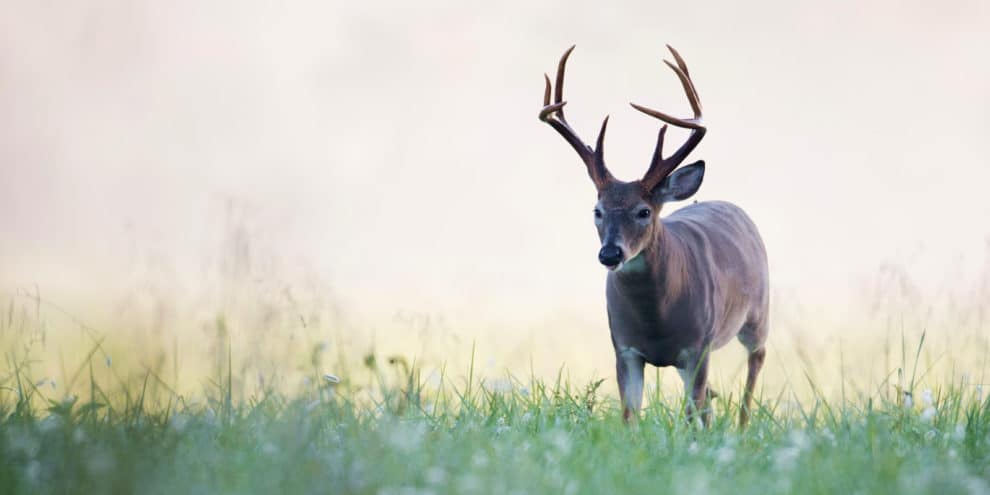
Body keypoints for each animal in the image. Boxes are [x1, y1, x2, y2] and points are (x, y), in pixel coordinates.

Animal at [540, 44, 772, 428]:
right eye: (597, 210)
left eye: (643, 211)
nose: (610, 254)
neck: (655, 320)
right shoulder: (624, 348)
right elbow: (630, 415)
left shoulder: (698, 346)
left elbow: (693, 414)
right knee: (711, 400)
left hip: (757, 314)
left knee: (754, 367)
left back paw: (741, 428)